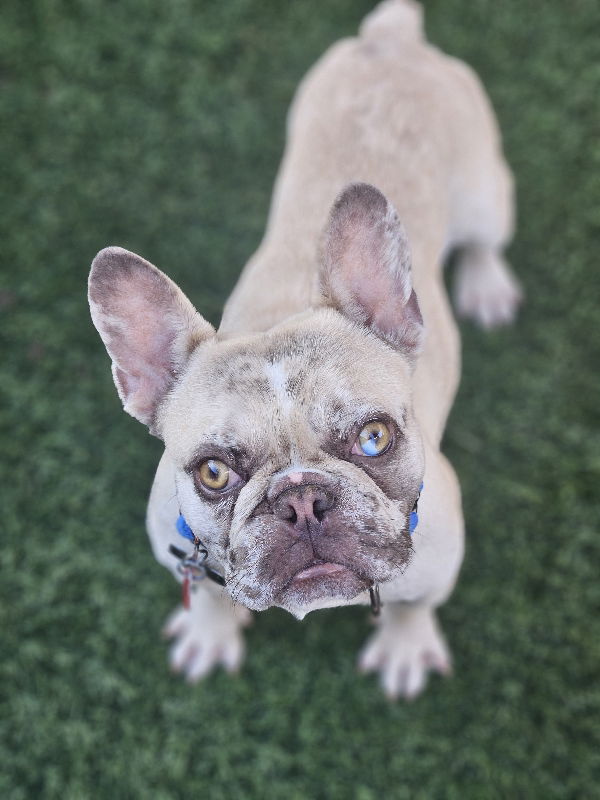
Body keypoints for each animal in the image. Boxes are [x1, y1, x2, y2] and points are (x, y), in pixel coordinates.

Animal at [86, 0, 524, 696]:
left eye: (374, 437)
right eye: (213, 472)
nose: (301, 500)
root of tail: (393, 41)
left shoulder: (439, 562)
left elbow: (415, 606)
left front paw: (404, 647)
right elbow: (208, 594)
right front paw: (210, 632)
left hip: (485, 193)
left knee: (485, 239)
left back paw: (486, 284)